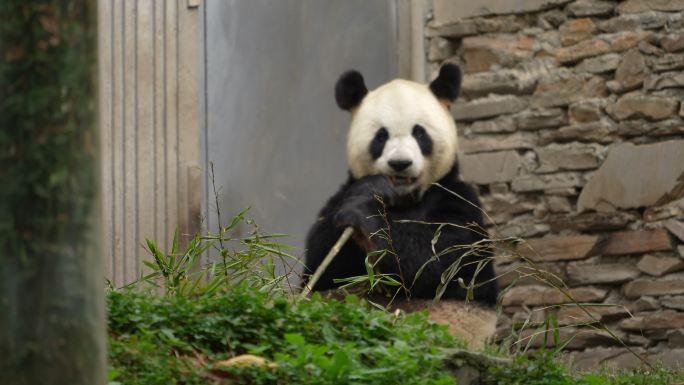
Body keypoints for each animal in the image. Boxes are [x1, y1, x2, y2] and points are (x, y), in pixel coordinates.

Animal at [304, 63, 496, 308]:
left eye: (420, 133)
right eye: (381, 136)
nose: (400, 163)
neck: (404, 198)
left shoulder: (457, 200)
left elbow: (440, 261)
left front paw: (365, 210)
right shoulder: (339, 197)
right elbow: (323, 269)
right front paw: (370, 193)